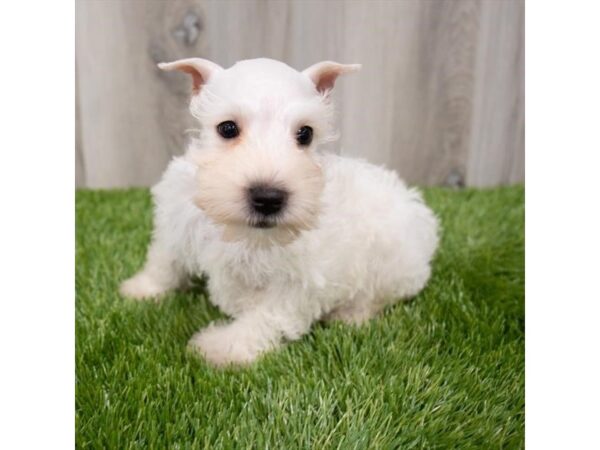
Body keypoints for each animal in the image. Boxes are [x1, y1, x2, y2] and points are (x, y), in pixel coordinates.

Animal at [120, 57, 440, 366]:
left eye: (305, 133)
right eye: (227, 128)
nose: (268, 198)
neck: (240, 232)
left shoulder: (300, 282)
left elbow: (267, 316)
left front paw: (222, 348)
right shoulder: (178, 216)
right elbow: (165, 260)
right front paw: (141, 288)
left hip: (393, 262)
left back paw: (351, 314)